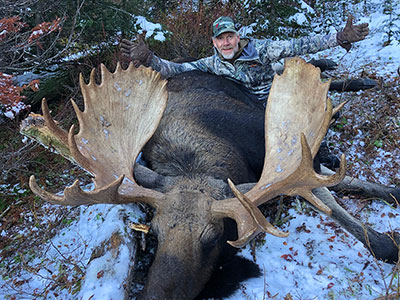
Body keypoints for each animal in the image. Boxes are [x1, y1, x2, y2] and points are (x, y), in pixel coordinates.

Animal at [23, 56, 398, 300]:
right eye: (154, 233)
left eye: (213, 238)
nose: (153, 297)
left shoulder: (295, 151)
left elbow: (333, 194)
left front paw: (386, 236)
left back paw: (348, 77)